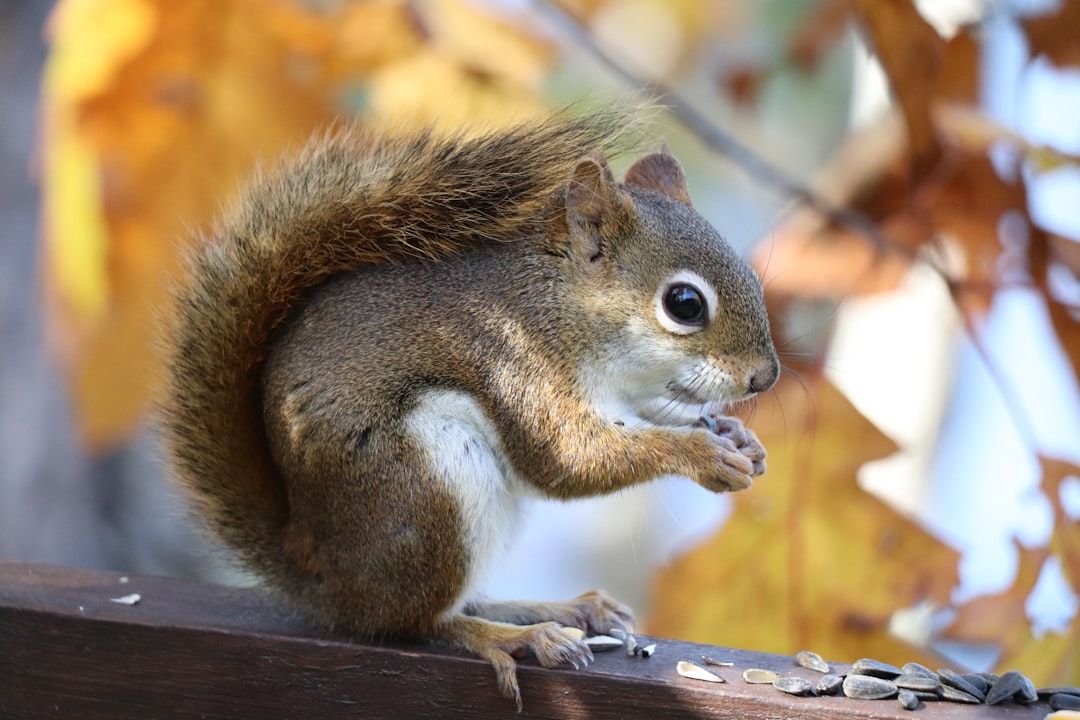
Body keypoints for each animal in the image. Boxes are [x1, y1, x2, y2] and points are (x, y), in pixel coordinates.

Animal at [159, 108, 779, 709]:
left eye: (751, 277)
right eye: (684, 303)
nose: (765, 377)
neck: (561, 305)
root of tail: (317, 569)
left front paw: (739, 439)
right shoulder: (515, 361)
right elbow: (568, 459)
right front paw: (703, 455)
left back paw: (558, 610)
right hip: (426, 486)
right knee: (416, 621)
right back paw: (517, 637)